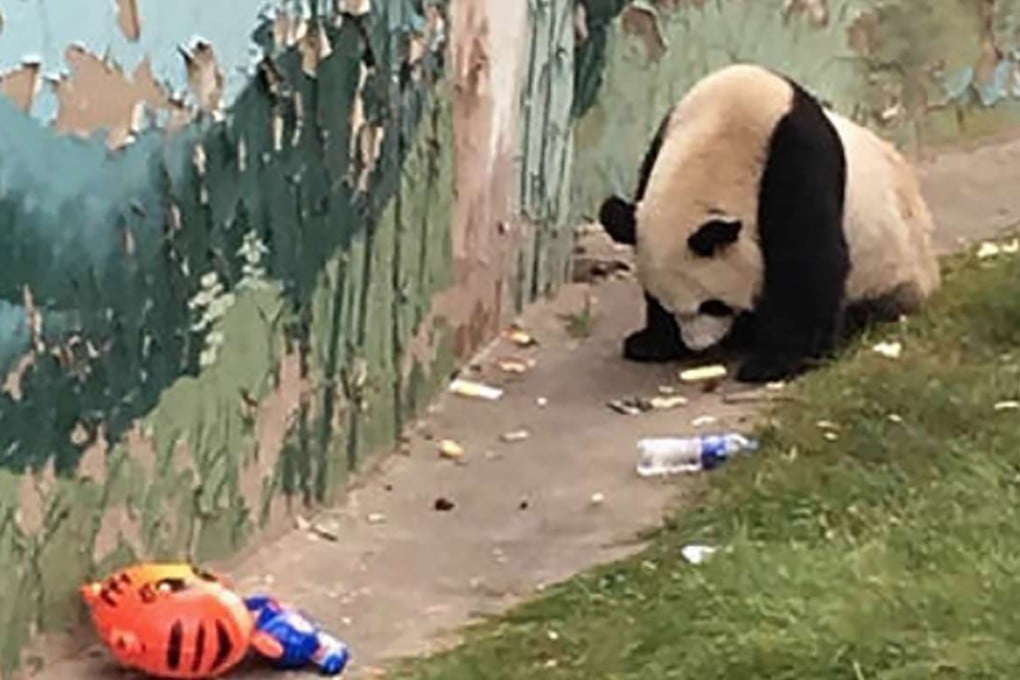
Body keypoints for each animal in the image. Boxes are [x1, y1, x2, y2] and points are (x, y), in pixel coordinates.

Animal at [597, 63, 940, 383]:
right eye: (667, 304)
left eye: (713, 305)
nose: (697, 344)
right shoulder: (661, 143)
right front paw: (652, 342)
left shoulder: (797, 161)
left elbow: (806, 261)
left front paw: (776, 362)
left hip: (890, 267)